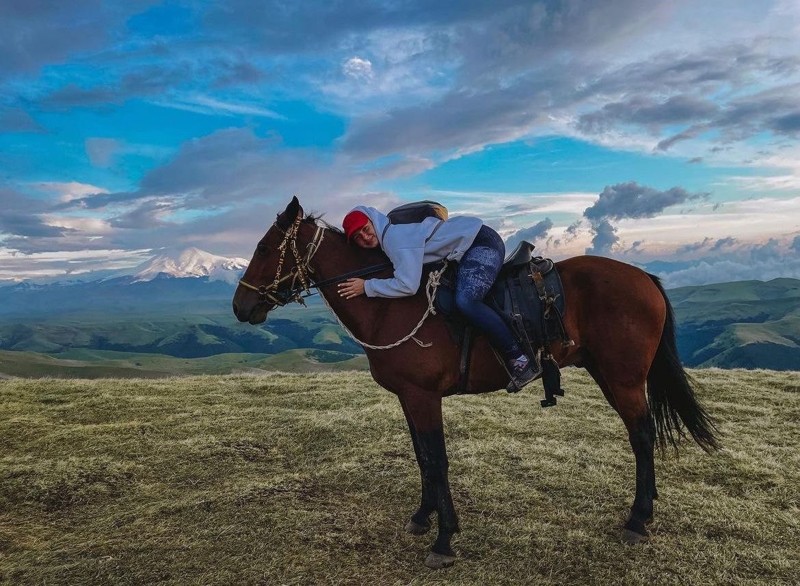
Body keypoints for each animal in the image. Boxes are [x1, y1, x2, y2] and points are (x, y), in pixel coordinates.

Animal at [231, 196, 720, 564]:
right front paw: (422, 516)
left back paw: (637, 518)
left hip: (623, 378)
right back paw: (647, 508)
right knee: (644, 432)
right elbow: (422, 457)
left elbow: (437, 460)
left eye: (265, 248)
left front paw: (444, 539)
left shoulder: (424, 396)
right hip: (609, 373)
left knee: (641, 435)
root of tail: (645, 278)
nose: (239, 307)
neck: (389, 306)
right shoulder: (409, 398)